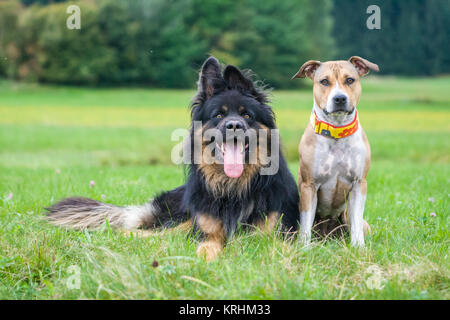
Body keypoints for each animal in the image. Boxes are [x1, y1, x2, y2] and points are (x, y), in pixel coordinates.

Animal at [45, 56, 300, 262]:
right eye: (219, 115)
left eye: (247, 115)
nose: (234, 126)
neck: (234, 188)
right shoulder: (205, 231)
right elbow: (207, 246)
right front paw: (206, 260)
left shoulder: (274, 233)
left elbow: (278, 247)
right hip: (180, 220)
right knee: (147, 232)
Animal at [294, 57, 378, 246]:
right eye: (324, 81)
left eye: (350, 80)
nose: (339, 98)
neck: (337, 131)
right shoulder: (309, 185)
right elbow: (305, 222)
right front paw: (304, 247)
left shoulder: (358, 184)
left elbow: (356, 221)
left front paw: (358, 247)